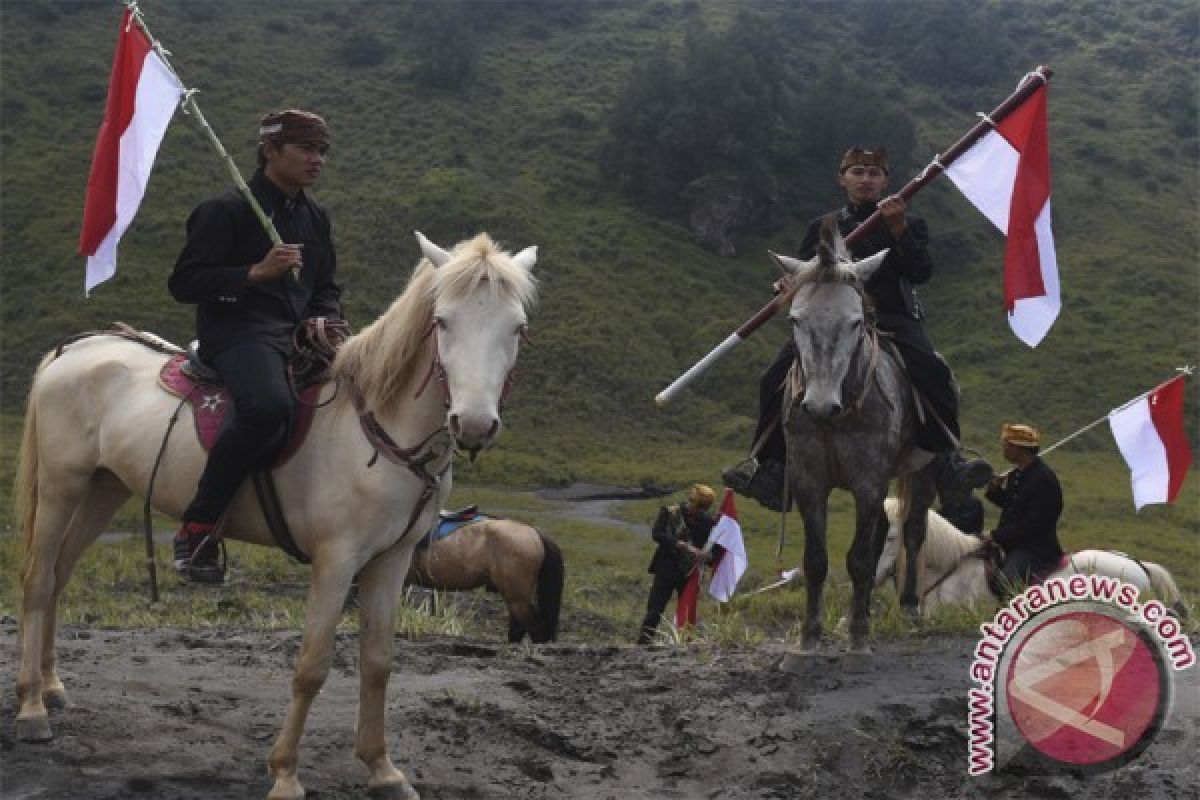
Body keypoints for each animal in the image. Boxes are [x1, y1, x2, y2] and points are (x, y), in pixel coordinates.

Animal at [14, 231, 537, 800]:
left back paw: (52, 686)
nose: (474, 425)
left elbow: (378, 662)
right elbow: (311, 666)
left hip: (103, 489)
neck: (378, 431)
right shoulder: (336, 561)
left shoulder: (392, 561)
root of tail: (76, 348)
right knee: (39, 580)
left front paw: (382, 769)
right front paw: (285, 773)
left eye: (517, 327)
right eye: (442, 321)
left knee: (60, 575)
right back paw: (31, 707)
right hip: (62, 486)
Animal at [772, 214, 940, 671]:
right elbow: (815, 561)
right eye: (795, 320)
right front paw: (808, 641)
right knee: (885, 529)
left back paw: (910, 609)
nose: (818, 406)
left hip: (921, 471)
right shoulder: (809, 480)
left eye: (854, 323)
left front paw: (859, 641)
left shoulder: (868, 482)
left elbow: (861, 560)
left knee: (913, 530)